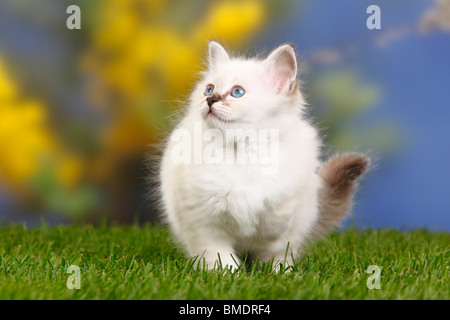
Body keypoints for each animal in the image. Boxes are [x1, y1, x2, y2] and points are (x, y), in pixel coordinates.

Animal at [158, 41, 370, 272]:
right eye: (209, 89)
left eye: (237, 92)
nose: (210, 99)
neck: (241, 149)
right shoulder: (203, 220)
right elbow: (219, 256)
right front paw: (228, 274)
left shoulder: (288, 204)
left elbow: (274, 236)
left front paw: (274, 271)